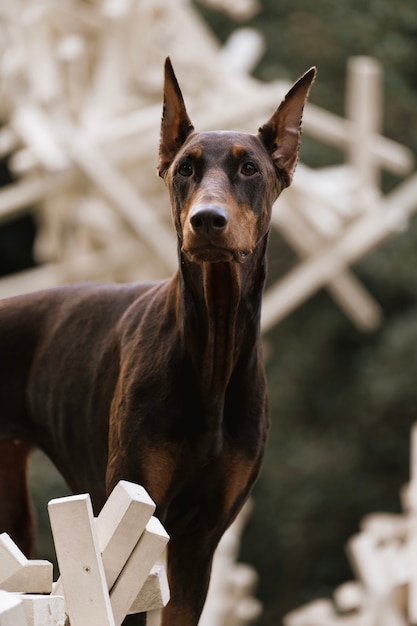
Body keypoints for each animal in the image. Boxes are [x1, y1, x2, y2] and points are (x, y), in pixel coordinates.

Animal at [0, 59, 314, 624]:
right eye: (185, 168)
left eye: (249, 169)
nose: (206, 220)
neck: (212, 347)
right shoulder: (132, 525)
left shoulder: (199, 540)